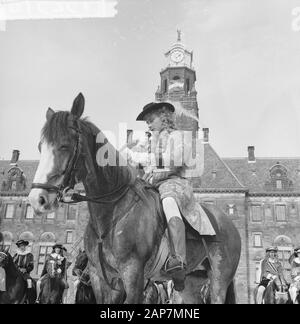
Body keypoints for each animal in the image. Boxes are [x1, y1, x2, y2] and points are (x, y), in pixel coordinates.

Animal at [28, 93, 241, 304]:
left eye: (64, 145)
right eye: (40, 146)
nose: (37, 198)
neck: (110, 214)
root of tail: (226, 221)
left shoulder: (133, 275)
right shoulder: (103, 280)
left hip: (218, 281)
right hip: (191, 282)